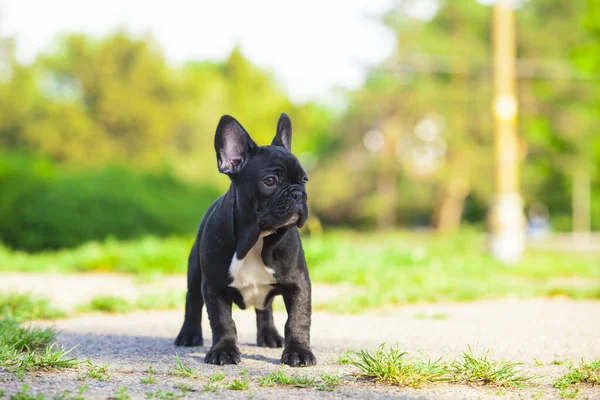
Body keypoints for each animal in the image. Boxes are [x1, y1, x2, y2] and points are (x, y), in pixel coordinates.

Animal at [173, 114, 316, 368]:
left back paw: (269, 336)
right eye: (270, 181)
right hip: (195, 272)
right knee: (193, 301)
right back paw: (189, 335)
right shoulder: (214, 286)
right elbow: (222, 321)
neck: (257, 239)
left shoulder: (298, 283)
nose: (298, 193)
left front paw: (298, 351)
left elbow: (298, 319)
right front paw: (224, 351)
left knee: (265, 310)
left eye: (304, 180)